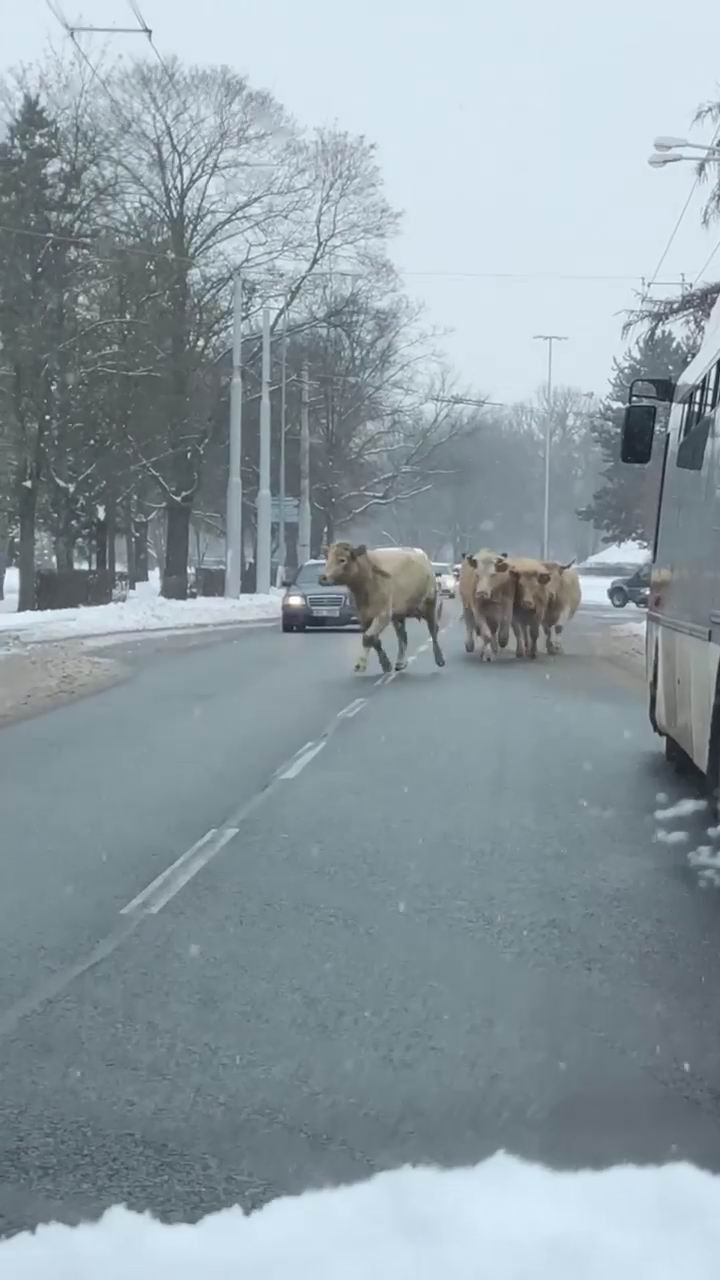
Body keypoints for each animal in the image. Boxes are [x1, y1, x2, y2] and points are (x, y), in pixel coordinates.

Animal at [319, 542, 443, 675]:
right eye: (328, 558)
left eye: (342, 559)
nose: (323, 578)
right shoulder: (364, 616)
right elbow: (373, 640)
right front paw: (385, 664)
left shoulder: (383, 615)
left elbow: (367, 637)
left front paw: (360, 664)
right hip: (398, 614)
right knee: (402, 635)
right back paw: (400, 662)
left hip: (429, 604)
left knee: (433, 629)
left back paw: (439, 658)